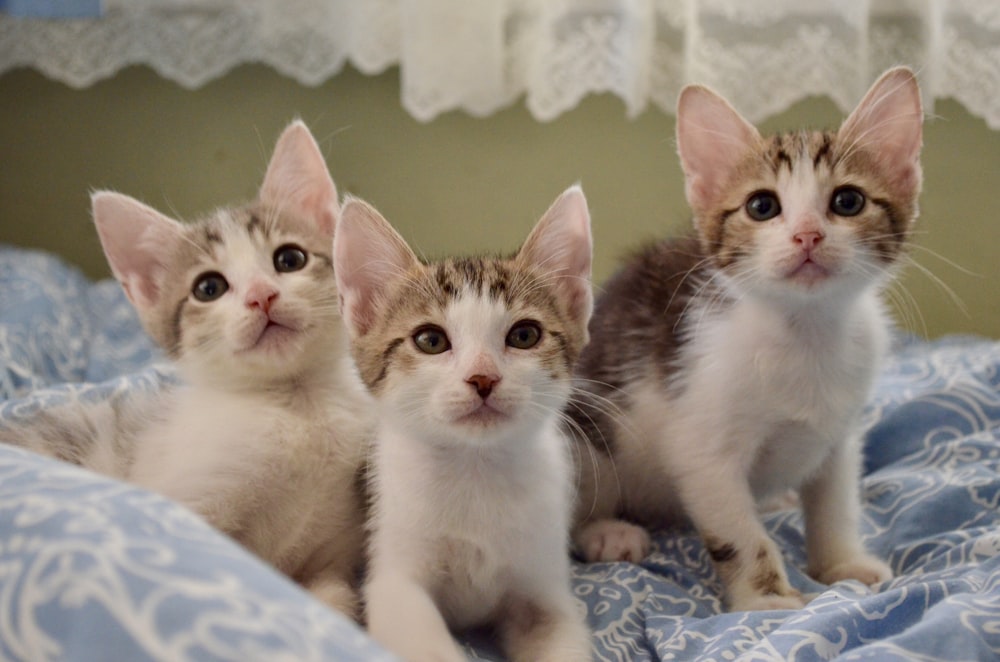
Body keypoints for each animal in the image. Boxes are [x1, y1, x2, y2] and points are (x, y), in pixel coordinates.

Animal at [1, 122, 374, 620]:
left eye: (290, 259)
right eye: (208, 288)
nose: (261, 296)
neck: (299, 408)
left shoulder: (332, 552)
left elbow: (333, 599)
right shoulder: (187, 503)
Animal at [336, 187, 592, 662]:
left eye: (525, 335)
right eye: (430, 340)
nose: (483, 378)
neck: (476, 468)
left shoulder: (545, 591)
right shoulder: (393, 580)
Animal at [572, 67, 920, 612]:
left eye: (848, 201)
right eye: (762, 206)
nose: (807, 235)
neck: (805, 332)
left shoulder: (839, 434)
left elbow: (835, 502)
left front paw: (842, 564)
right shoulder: (702, 447)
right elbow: (740, 533)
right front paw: (767, 599)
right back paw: (607, 532)